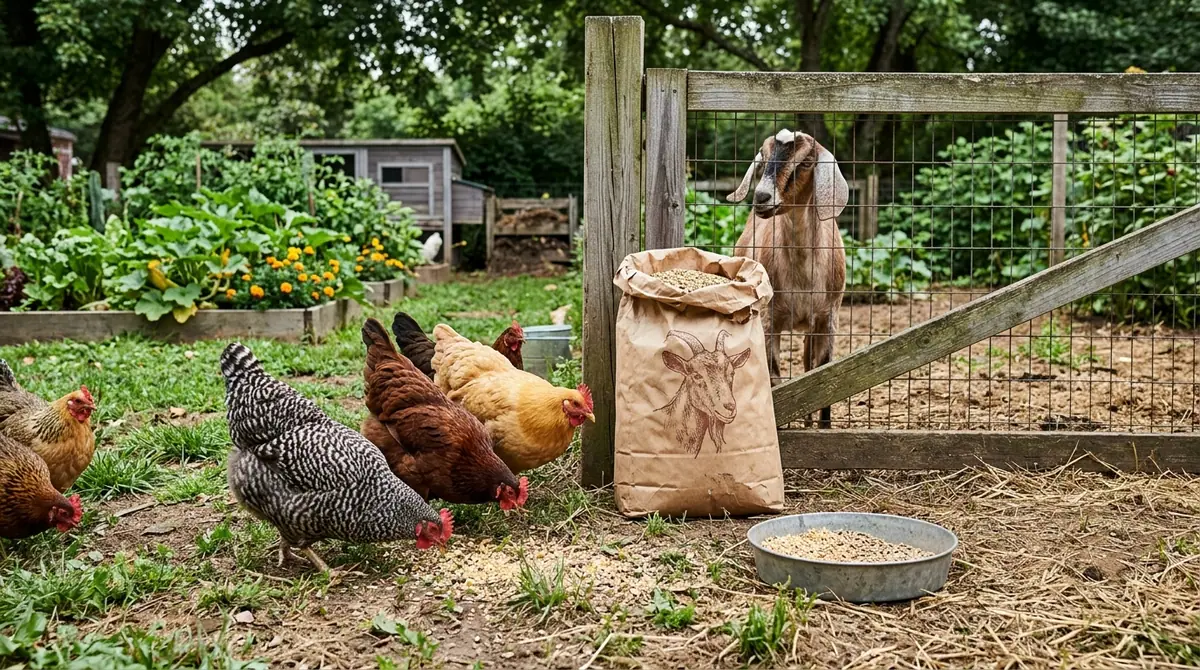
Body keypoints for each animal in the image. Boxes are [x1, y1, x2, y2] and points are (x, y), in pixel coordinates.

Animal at [726, 128, 848, 428]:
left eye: (805, 163)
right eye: (764, 157)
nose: (761, 197)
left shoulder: (828, 318)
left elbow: (823, 375)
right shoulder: (770, 320)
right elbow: (774, 377)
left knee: (806, 364)